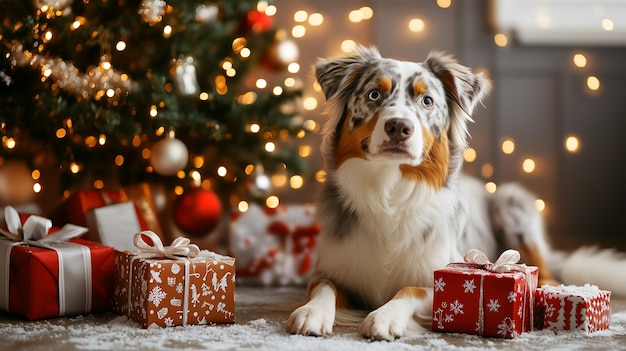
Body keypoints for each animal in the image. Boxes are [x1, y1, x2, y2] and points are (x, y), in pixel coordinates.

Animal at [286, 46, 624, 340]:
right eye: (374, 94)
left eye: (427, 101)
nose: (399, 127)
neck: (390, 192)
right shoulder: (331, 270)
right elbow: (323, 288)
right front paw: (311, 313)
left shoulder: (439, 274)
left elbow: (409, 289)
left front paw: (384, 316)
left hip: (511, 202)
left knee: (547, 270)